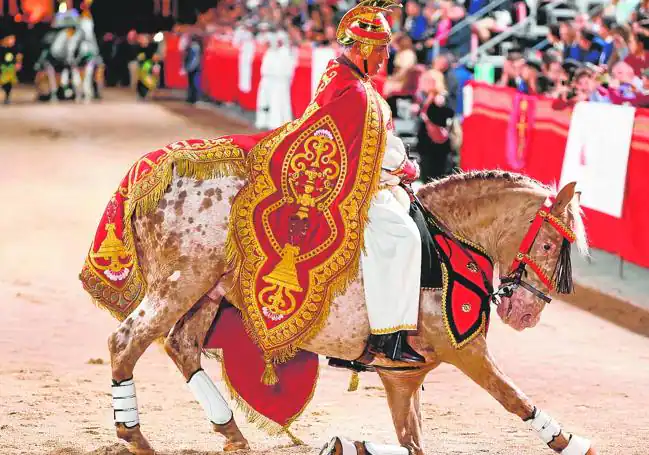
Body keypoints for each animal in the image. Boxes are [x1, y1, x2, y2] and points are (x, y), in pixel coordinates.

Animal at [90, 161, 592, 455]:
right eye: (550, 244)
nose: (527, 314)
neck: (449, 244)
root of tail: (152, 184)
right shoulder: (465, 351)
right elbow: (513, 398)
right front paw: (572, 442)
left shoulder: (401, 377)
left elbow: (412, 443)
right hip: (179, 285)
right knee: (124, 342)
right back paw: (134, 435)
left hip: (207, 293)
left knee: (182, 346)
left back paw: (230, 431)